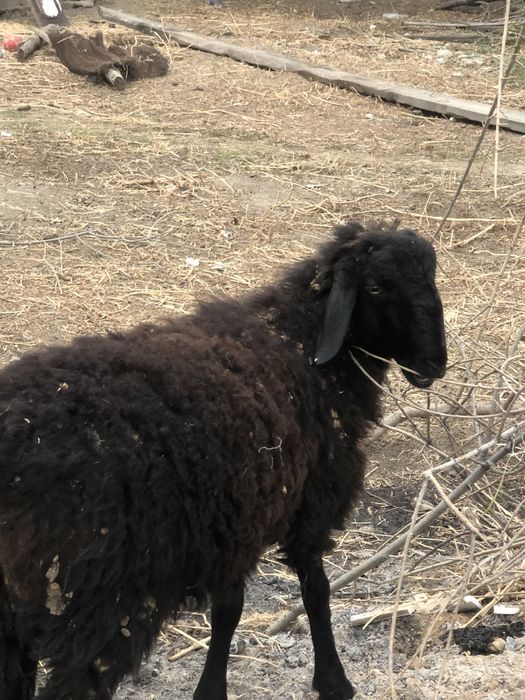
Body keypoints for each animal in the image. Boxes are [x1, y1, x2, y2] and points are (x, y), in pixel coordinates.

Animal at [0, 220, 447, 700]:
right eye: (377, 288)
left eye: (430, 278)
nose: (433, 364)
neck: (299, 341)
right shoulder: (289, 509)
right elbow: (307, 594)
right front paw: (331, 680)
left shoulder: (234, 524)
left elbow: (237, 607)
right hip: (95, 596)